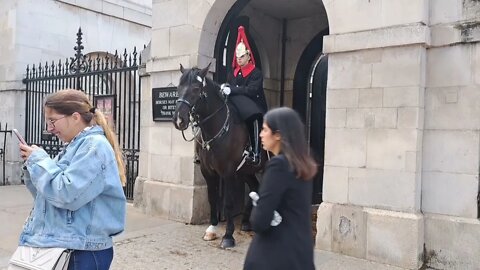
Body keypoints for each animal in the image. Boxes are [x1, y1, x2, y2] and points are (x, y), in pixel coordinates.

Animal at [172, 63, 264, 249]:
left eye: (196, 89)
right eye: (178, 87)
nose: (179, 120)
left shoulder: (228, 173)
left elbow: (227, 203)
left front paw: (228, 236)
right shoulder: (208, 171)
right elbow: (212, 198)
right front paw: (212, 228)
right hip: (246, 171)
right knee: (255, 187)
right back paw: (246, 222)